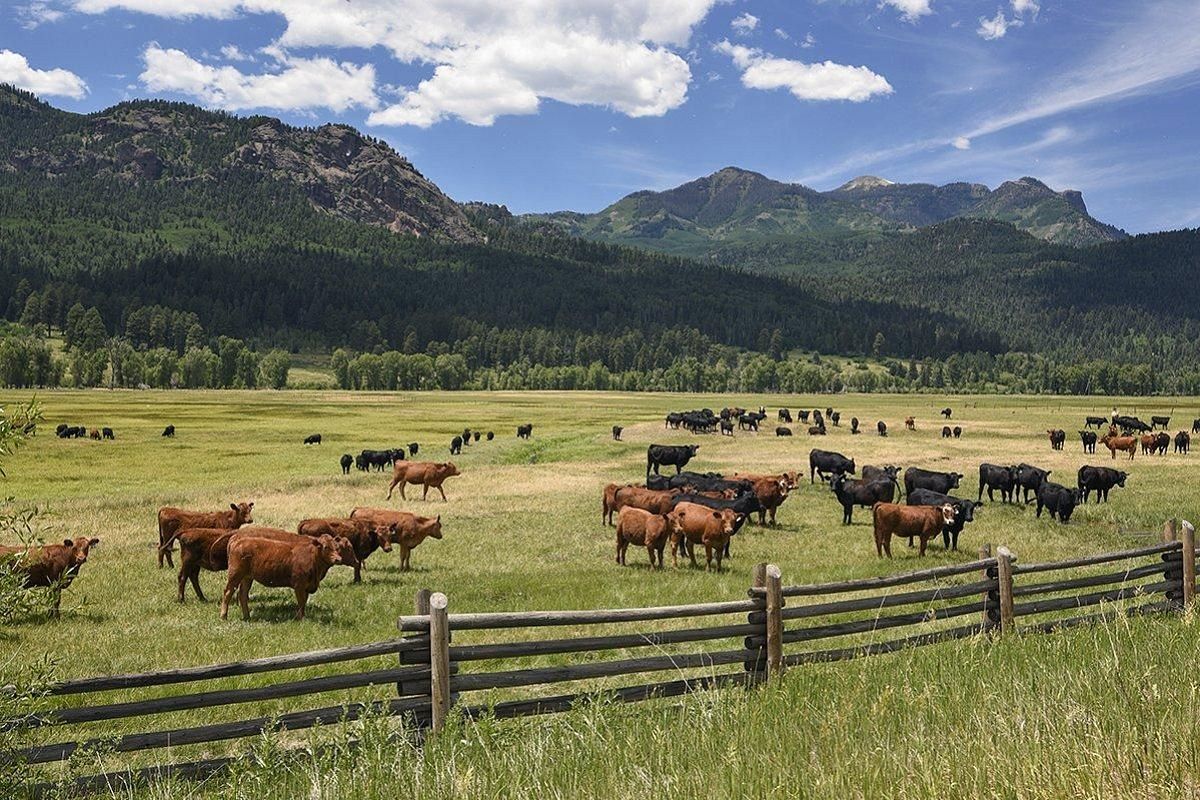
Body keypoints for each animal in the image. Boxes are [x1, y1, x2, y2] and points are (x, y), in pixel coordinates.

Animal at [219, 534, 350, 623]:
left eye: (337, 547)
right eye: (325, 547)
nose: (338, 559)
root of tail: (238, 540)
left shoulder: (307, 586)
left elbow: (304, 602)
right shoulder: (299, 585)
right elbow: (301, 602)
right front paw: (301, 619)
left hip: (247, 577)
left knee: (242, 595)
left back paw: (247, 616)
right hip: (235, 574)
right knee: (228, 592)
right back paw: (223, 616)